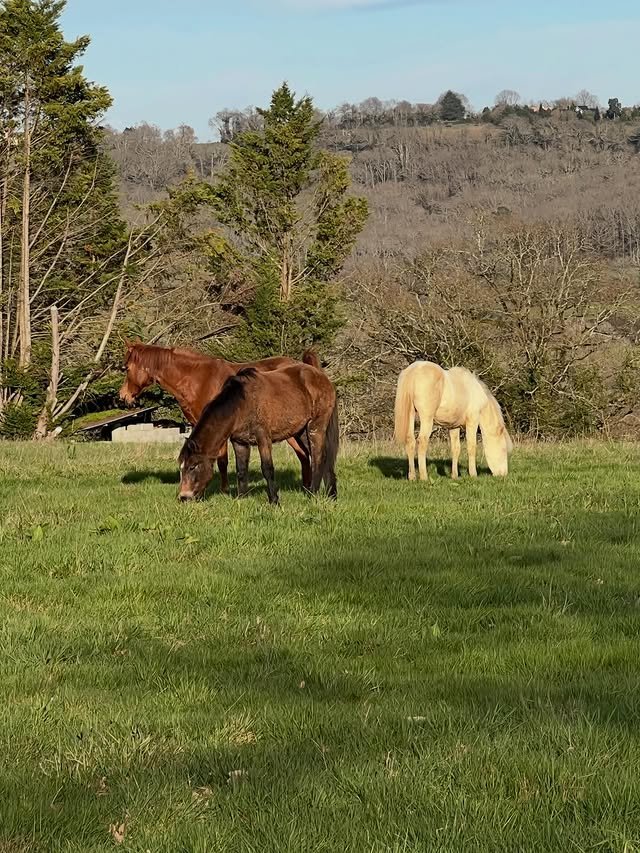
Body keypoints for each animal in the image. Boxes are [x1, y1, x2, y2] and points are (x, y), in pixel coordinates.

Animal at [119, 341, 318, 493]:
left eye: (126, 368)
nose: (123, 396)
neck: (198, 380)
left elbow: (222, 461)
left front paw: (224, 490)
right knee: (304, 456)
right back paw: (306, 487)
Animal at [178, 363, 338, 505]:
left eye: (192, 466)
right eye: (181, 467)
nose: (183, 497)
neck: (242, 404)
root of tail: (323, 378)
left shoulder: (263, 438)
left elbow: (267, 468)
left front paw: (274, 501)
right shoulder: (239, 442)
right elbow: (241, 470)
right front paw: (241, 499)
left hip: (315, 427)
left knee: (318, 458)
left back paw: (313, 494)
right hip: (301, 432)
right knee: (324, 458)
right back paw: (332, 495)